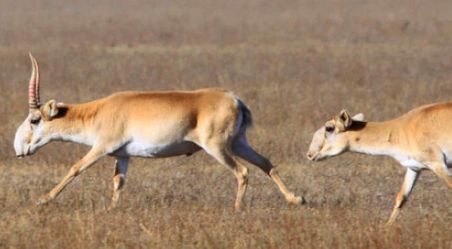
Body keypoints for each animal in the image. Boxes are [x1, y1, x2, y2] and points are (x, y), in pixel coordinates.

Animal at [13, 53, 304, 209]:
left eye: (35, 119)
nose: (19, 149)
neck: (99, 111)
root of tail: (235, 99)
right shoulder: (123, 155)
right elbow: (118, 181)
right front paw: (111, 209)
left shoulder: (101, 148)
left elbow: (75, 168)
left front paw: (42, 199)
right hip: (239, 143)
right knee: (266, 163)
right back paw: (296, 199)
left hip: (218, 147)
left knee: (242, 172)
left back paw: (237, 209)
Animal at [308, 110, 452, 225]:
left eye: (329, 128)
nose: (310, 154)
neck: (400, 128)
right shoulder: (414, 168)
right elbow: (401, 197)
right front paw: (387, 227)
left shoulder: (438, 164)